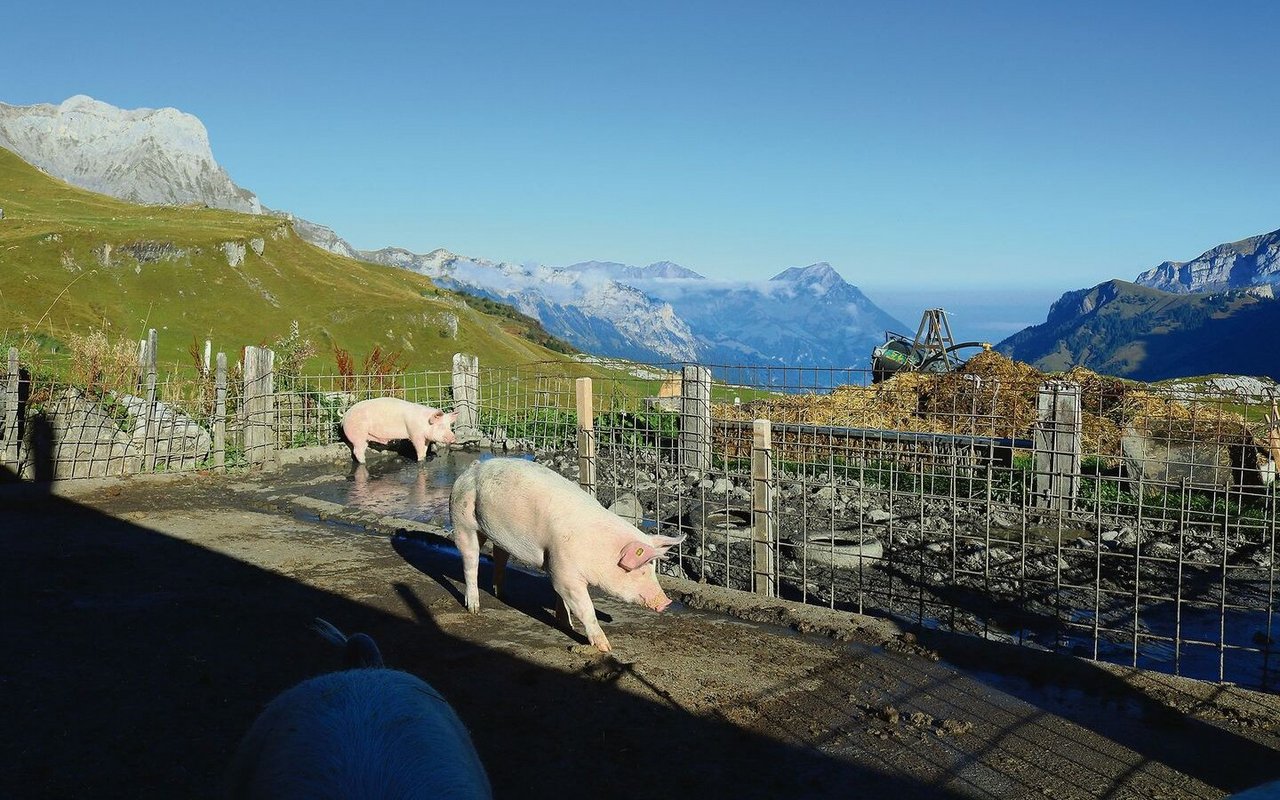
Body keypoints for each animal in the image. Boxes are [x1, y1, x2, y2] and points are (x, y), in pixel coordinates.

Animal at [448, 455, 686, 650]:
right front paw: (605, 647)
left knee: (500, 557)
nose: (665, 602)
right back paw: (474, 608)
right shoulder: (564, 570)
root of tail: (473, 468)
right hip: (462, 520)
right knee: (470, 561)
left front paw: (565, 624)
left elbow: (561, 599)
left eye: (652, 570)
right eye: (641, 570)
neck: (599, 548)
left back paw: (501, 594)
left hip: (499, 534)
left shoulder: (558, 568)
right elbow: (584, 607)